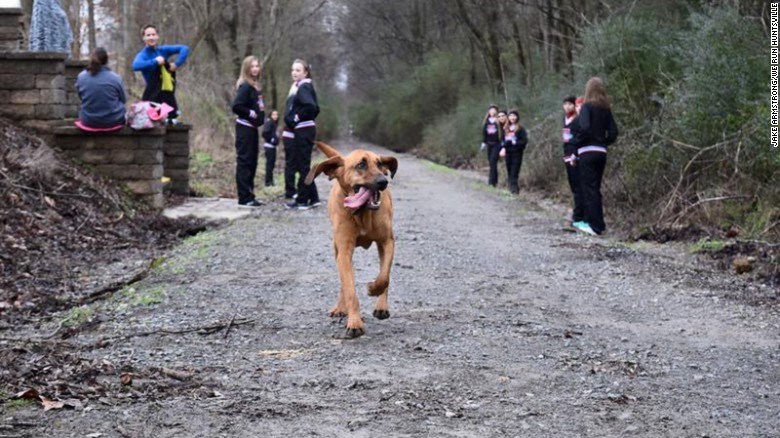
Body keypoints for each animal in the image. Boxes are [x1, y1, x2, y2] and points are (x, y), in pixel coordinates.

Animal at [304, 141, 400, 338]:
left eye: (380, 164)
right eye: (361, 165)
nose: (383, 181)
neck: (362, 213)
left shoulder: (387, 242)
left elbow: (384, 277)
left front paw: (373, 289)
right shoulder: (344, 251)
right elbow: (350, 289)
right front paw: (354, 322)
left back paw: (381, 307)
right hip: (337, 250)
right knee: (344, 281)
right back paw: (341, 308)